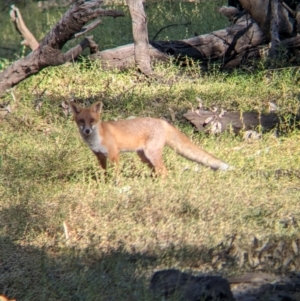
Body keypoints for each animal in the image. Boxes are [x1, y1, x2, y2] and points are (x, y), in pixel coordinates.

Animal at [70, 101, 230, 176]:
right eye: (81, 121)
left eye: (92, 121)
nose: (87, 130)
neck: (97, 137)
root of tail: (162, 121)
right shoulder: (100, 157)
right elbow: (103, 172)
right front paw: (104, 183)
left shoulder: (114, 154)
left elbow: (116, 174)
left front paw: (115, 184)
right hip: (144, 156)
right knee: (156, 171)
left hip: (151, 154)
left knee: (164, 171)